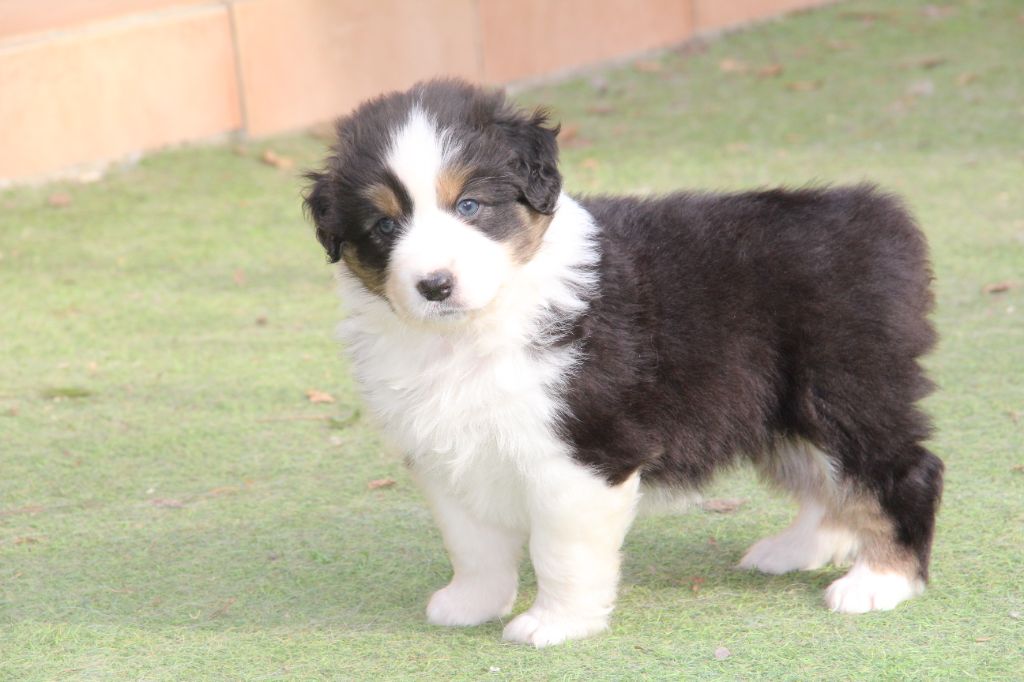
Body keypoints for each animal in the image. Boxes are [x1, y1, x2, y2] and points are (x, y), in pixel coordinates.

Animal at [304, 79, 942, 647]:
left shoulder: (582, 453)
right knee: (827, 483)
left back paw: (879, 580)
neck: (469, 333)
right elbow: (472, 543)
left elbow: (559, 551)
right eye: (385, 224)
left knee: (903, 471)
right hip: (776, 407)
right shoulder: (446, 451)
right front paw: (471, 603)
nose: (434, 285)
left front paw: (554, 625)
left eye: (469, 205)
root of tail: (870, 212)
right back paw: (795, 550)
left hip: (842, 387)